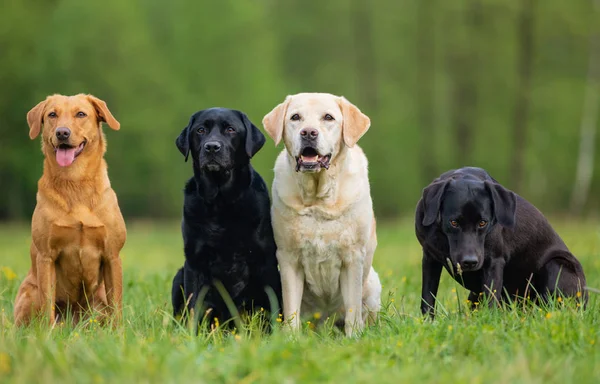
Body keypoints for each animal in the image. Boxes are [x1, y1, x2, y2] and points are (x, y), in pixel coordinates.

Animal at [12, 94, 126, 326]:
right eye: (52, 114)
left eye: (81, 114)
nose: (62, 133)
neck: (75, 182)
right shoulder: (46, 256)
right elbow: (47, 304)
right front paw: (47, 333)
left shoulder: (112, 255)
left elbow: (116, 305)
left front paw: (119, 332)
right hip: (30, 293)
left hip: (98, 299)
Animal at [169, 108, 282, 328]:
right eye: (200, 130)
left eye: (230, 129)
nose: (212, 147)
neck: (220, 203)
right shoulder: (194, 262)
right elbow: (194, 305)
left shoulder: (265, 260)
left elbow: (272, 303)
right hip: (179, 275)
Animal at [264, 93, 384, 336]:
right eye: (295, 117)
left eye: (328, 117)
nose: (309, 132)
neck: (318, 200)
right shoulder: (288, 257)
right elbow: (291, 309)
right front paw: (291, 338)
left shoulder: (353, 257)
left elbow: (352, 308)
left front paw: (354, 337)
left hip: (373, 284)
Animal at [414, 166, 588, 316]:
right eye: (454, 222)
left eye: (483, 223)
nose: (470, 262)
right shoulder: (430, 259)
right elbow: (427, 297)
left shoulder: (494, 261)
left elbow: (491, 297)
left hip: (556, 265)